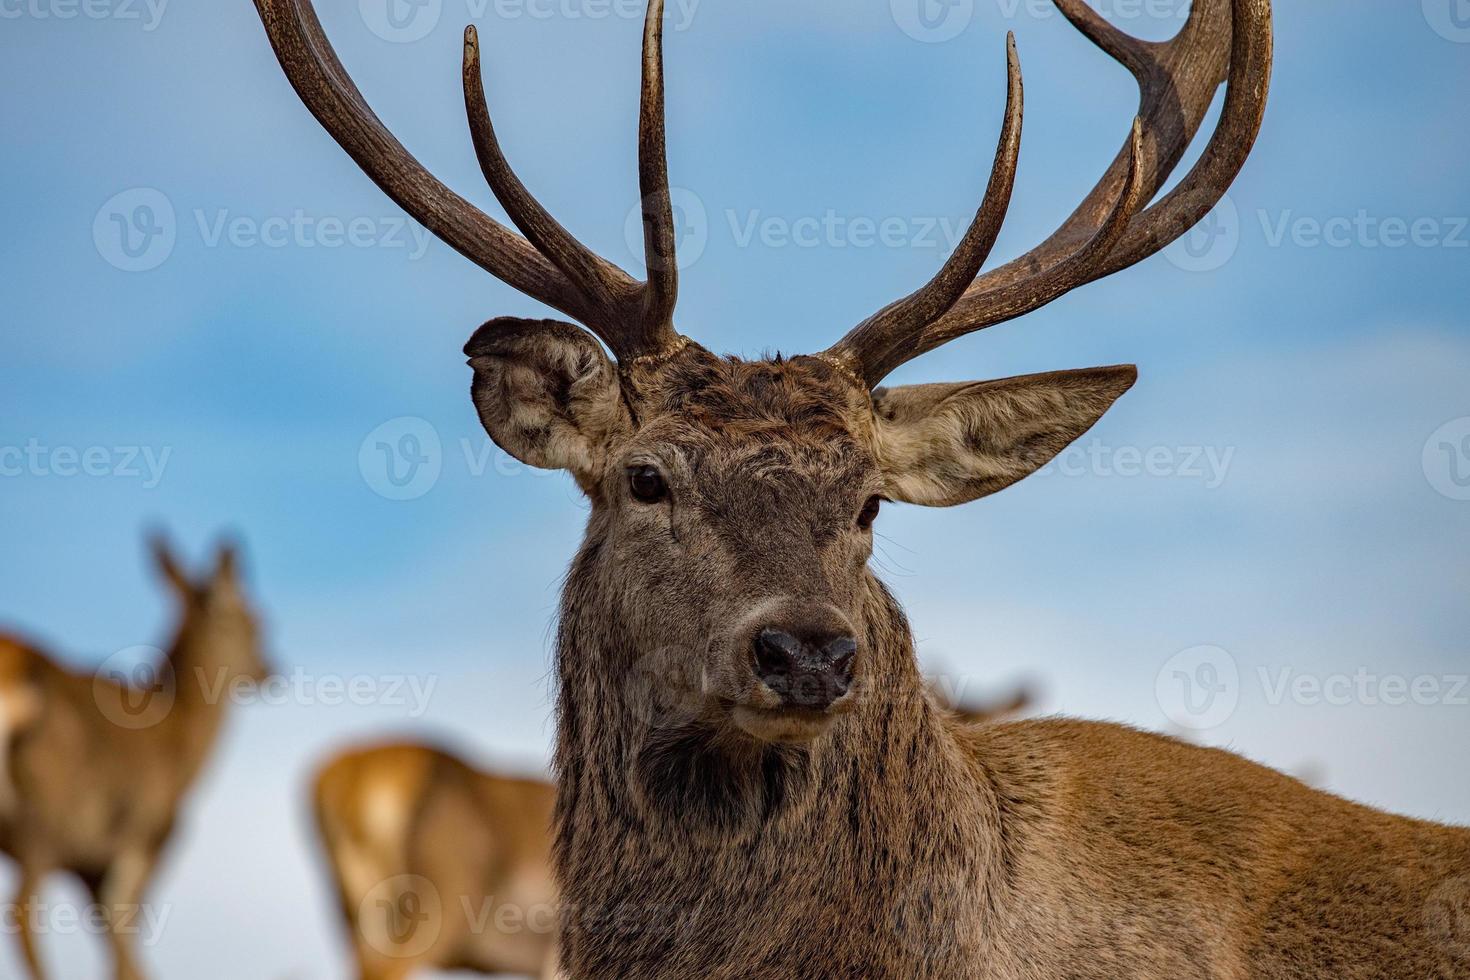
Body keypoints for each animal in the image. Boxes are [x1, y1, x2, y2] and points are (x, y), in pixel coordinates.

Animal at [0, 537, 269, 980]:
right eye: (256, 621)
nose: (272, 666)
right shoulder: (145, 835)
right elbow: (125, 939)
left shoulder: (90, 865)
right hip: (44, 819)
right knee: (22, 911)